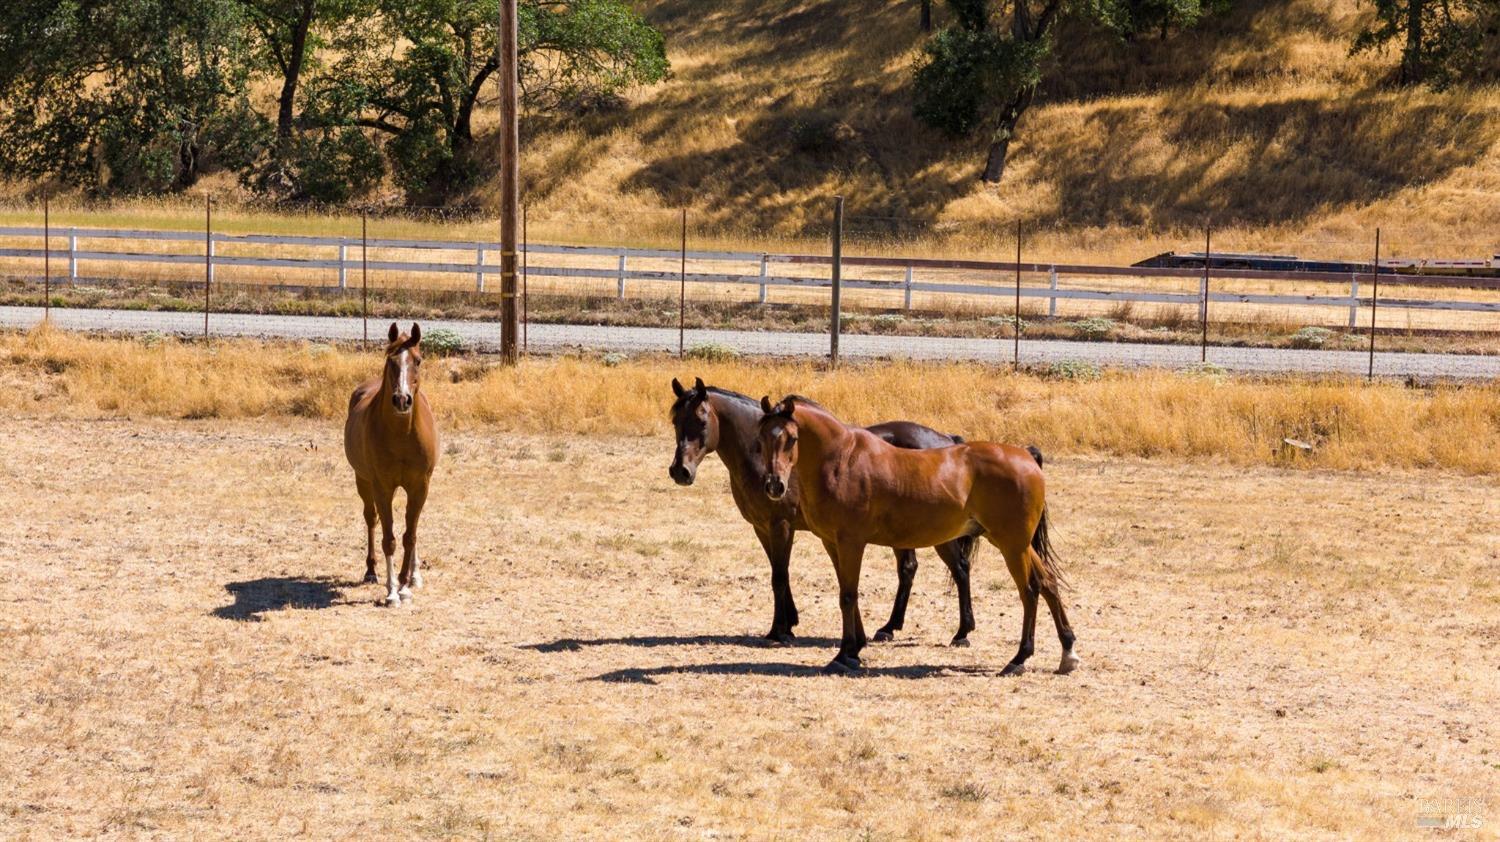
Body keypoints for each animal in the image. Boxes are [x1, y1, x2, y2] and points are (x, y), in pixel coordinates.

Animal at [340, 321, 435, 603]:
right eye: (390, 360)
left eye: (418, 360)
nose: (402, 399)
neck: (402, 435)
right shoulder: (381, 487)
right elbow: (389, 538)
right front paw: (392, 590)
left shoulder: (420, 486)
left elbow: (410, 536)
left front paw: (405, 584)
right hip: (363, 481)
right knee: (371, 520)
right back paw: (371, 570)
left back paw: (415, 575)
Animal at [672, 378, 984, 645]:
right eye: (675, 420)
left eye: (701, 421)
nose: (680, 471)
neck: (761, 459)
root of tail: (947, 441)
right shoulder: (761, 527)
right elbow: (778, 571)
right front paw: (789, 623)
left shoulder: (780, 525)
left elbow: (779, 576)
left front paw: (778, 631)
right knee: (909, 569)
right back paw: (889, 628)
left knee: (960, 569)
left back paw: (962, 633)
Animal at [762, 393, 1080, 675]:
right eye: (763, 436)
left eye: (792, 438)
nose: (774, 486)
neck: (842, 460)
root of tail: (1026, 455)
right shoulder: (832, 543)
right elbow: (847, 593)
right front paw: (856, 648)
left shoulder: (851, 542)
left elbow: (848, 596)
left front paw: (844, 655)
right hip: (1018, 544)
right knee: (1048, 583)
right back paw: (1067, 652)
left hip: (1012, 545)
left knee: (1030, 591)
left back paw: (1018, 659)